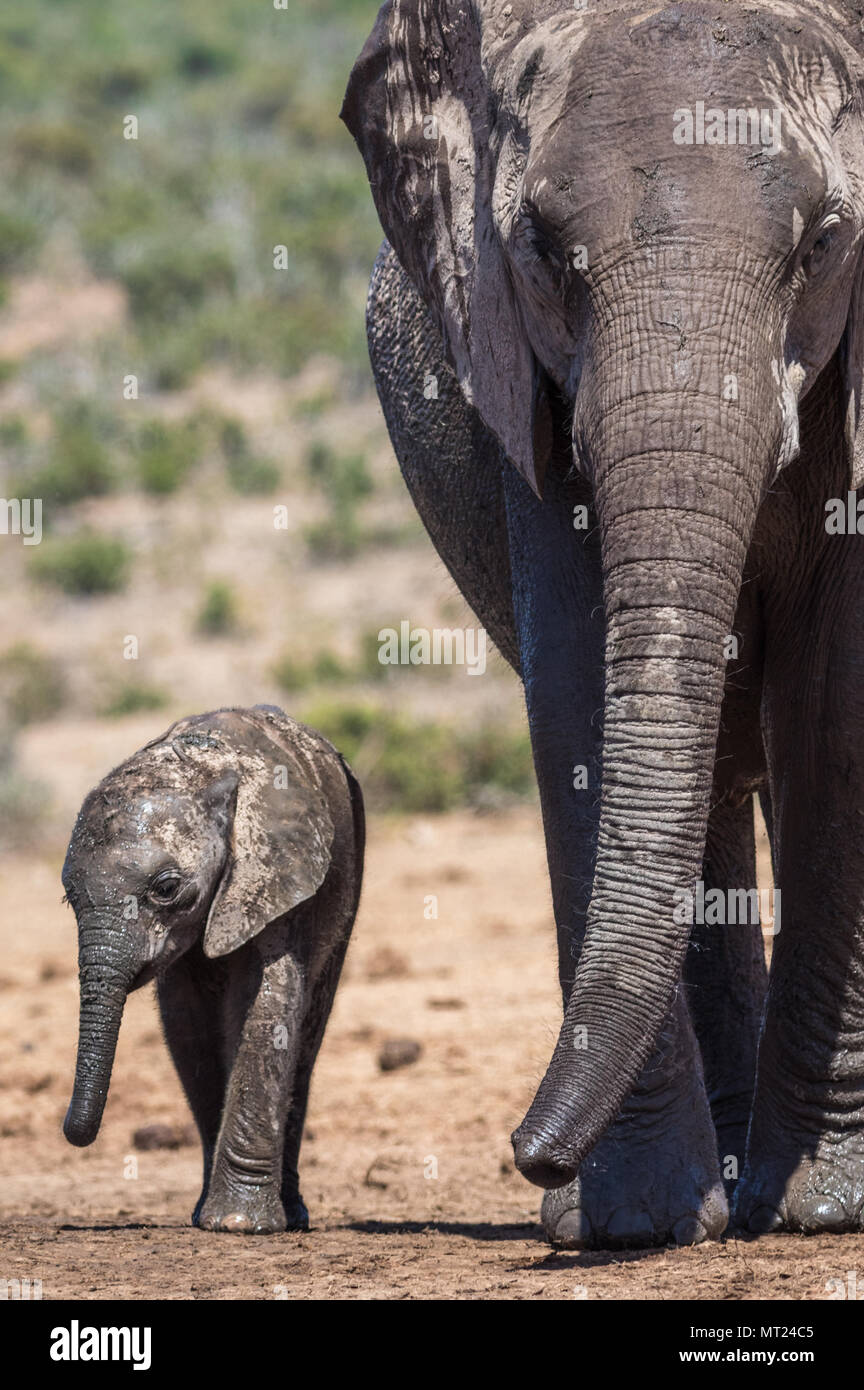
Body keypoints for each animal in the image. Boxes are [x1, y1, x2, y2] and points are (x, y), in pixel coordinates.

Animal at [61, 711, 363, 1234]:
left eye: (166, 888)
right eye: (68, 896)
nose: (74, 1133)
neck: (201, 771)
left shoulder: (278, 870)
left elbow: (267, 1005)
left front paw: (238, 1225)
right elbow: (187, 1024)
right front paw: (213, 1218)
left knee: (308, 1034)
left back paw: (291, 1216)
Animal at [341, 2, 864, 1251]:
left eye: (826, 241)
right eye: (538, 249)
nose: (527, 1153)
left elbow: (837, 697)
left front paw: (823, 1212)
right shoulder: (516, 379)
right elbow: (579, 683)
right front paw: (630, 1224)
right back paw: (721, 1191)